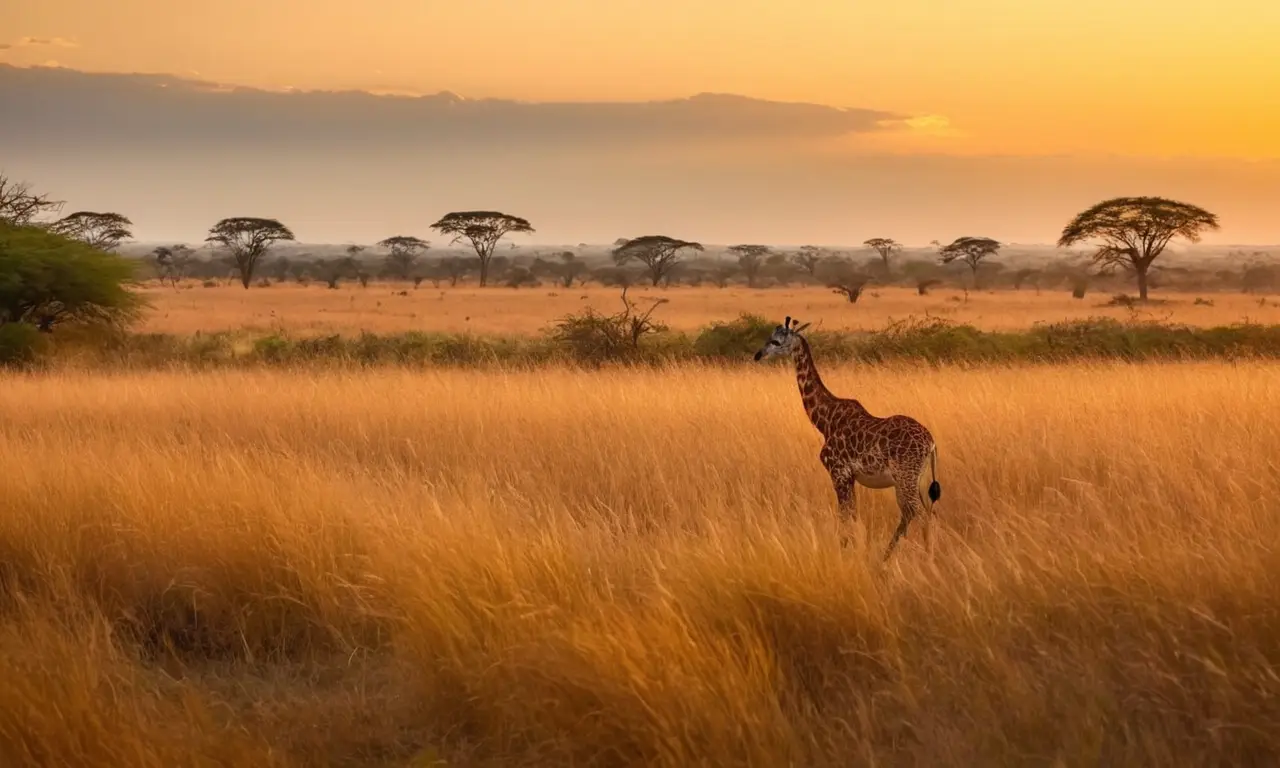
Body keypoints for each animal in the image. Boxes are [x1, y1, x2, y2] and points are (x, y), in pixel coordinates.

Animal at [754, 316, 942, 560]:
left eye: (776, 341)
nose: (758, 355)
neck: (826, 420)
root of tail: (930, 443)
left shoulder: (839, 473)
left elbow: (845, 517)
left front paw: (844, 553)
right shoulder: (850, 477)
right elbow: (853, 516)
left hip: (906, 477)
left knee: (921, 515)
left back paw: (925, 559)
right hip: (918, 479)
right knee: (919, 514)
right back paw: (892, 556)